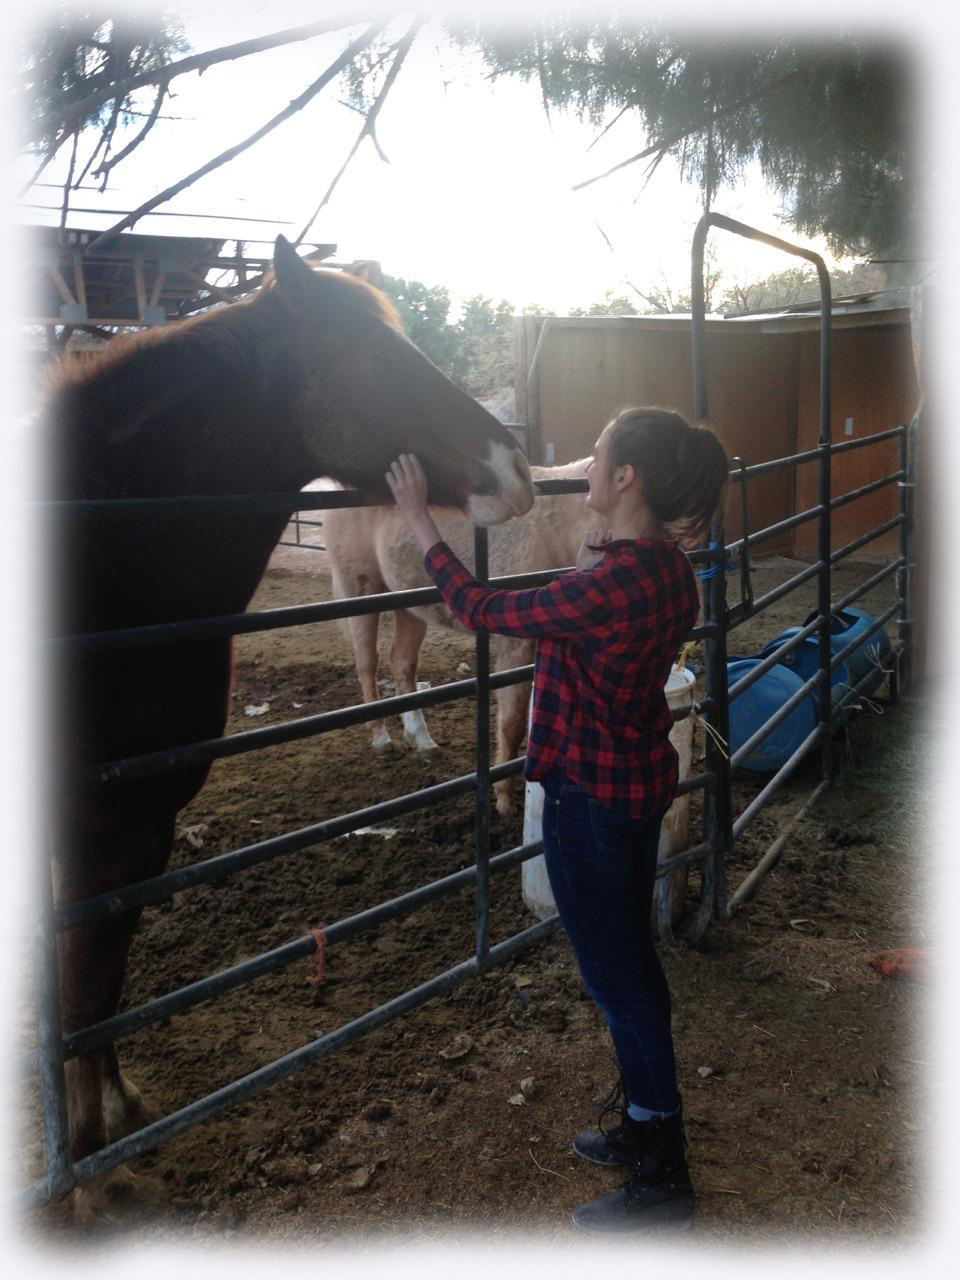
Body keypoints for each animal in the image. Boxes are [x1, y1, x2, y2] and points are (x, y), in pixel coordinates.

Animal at [47, 234, 534, 1217]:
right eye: (381, 358)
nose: (518, 469)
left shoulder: (131, 834)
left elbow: (101, 985)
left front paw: (115, 1118)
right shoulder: (106, 831)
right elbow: (83, 994)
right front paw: (92, 1180)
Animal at [323, 459, 592, 816]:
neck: (558, 525)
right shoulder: (515, 646)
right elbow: (512, 723)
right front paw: (504, 800)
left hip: (408, 602)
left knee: (402, 663)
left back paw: (422, 740)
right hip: (362, 590)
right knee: (368, 663)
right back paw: (381, 740)